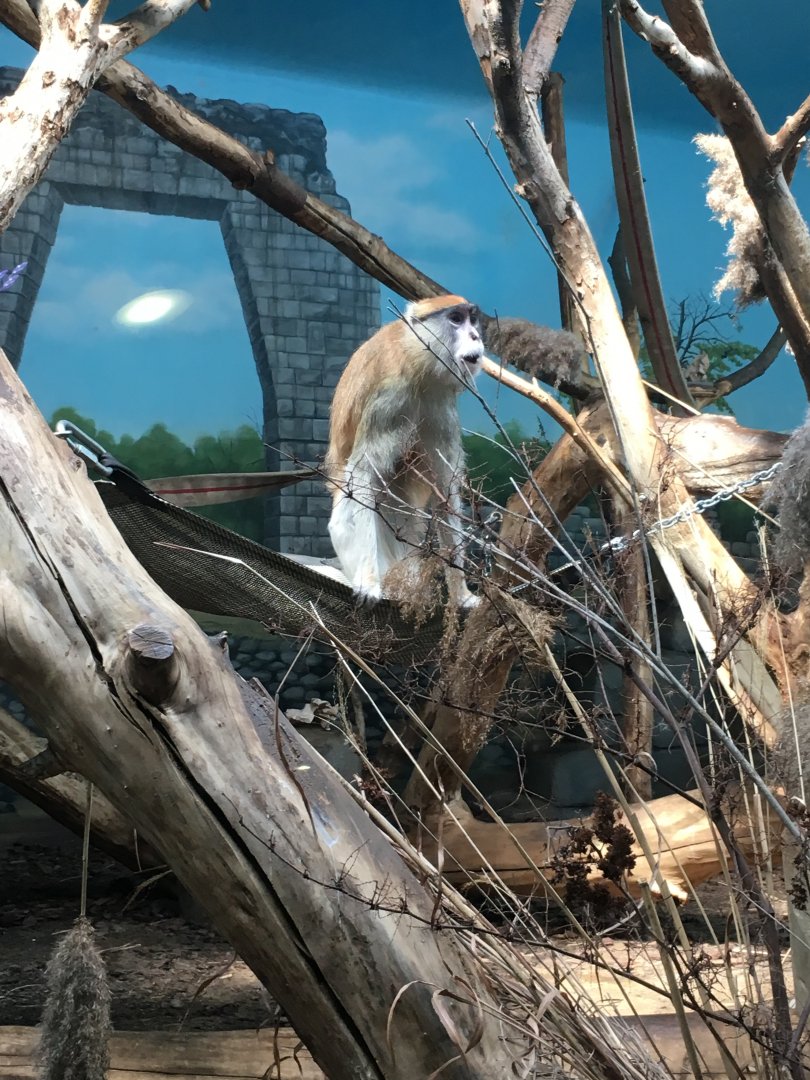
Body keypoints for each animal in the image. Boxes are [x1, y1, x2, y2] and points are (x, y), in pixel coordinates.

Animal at [325, 294, 484, 606]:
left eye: (472, 319)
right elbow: (363, 472)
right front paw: (369, 583)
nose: (475, 335)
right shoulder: (389, 398)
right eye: (456, 319)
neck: (418, 360)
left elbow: (445, 491)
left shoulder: (440, 403)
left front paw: (462, 595)